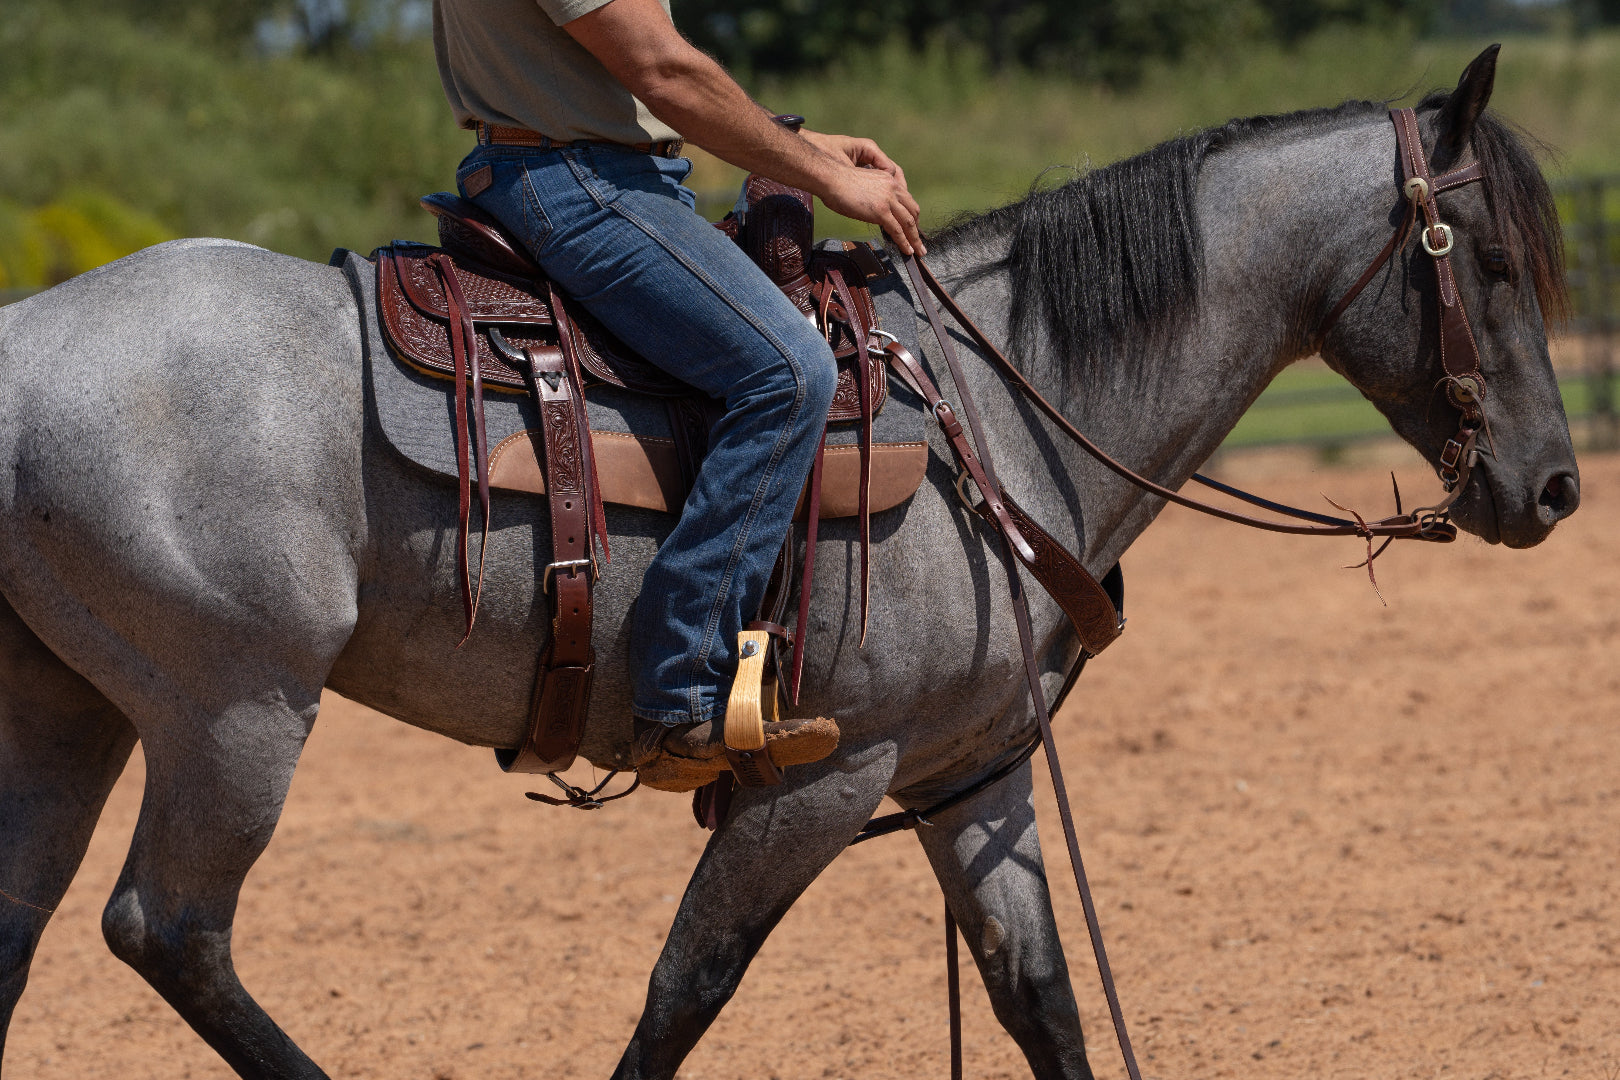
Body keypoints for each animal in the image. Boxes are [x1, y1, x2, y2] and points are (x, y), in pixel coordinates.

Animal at [0, 47, 1578, 1080]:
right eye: (1491, 260)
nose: (1557, 488)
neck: (995, 408)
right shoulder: (823, 775)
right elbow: (683, 991)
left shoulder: (971, 769)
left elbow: (1039, 996)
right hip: (234, 709)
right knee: (171, 930)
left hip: (69, 709)